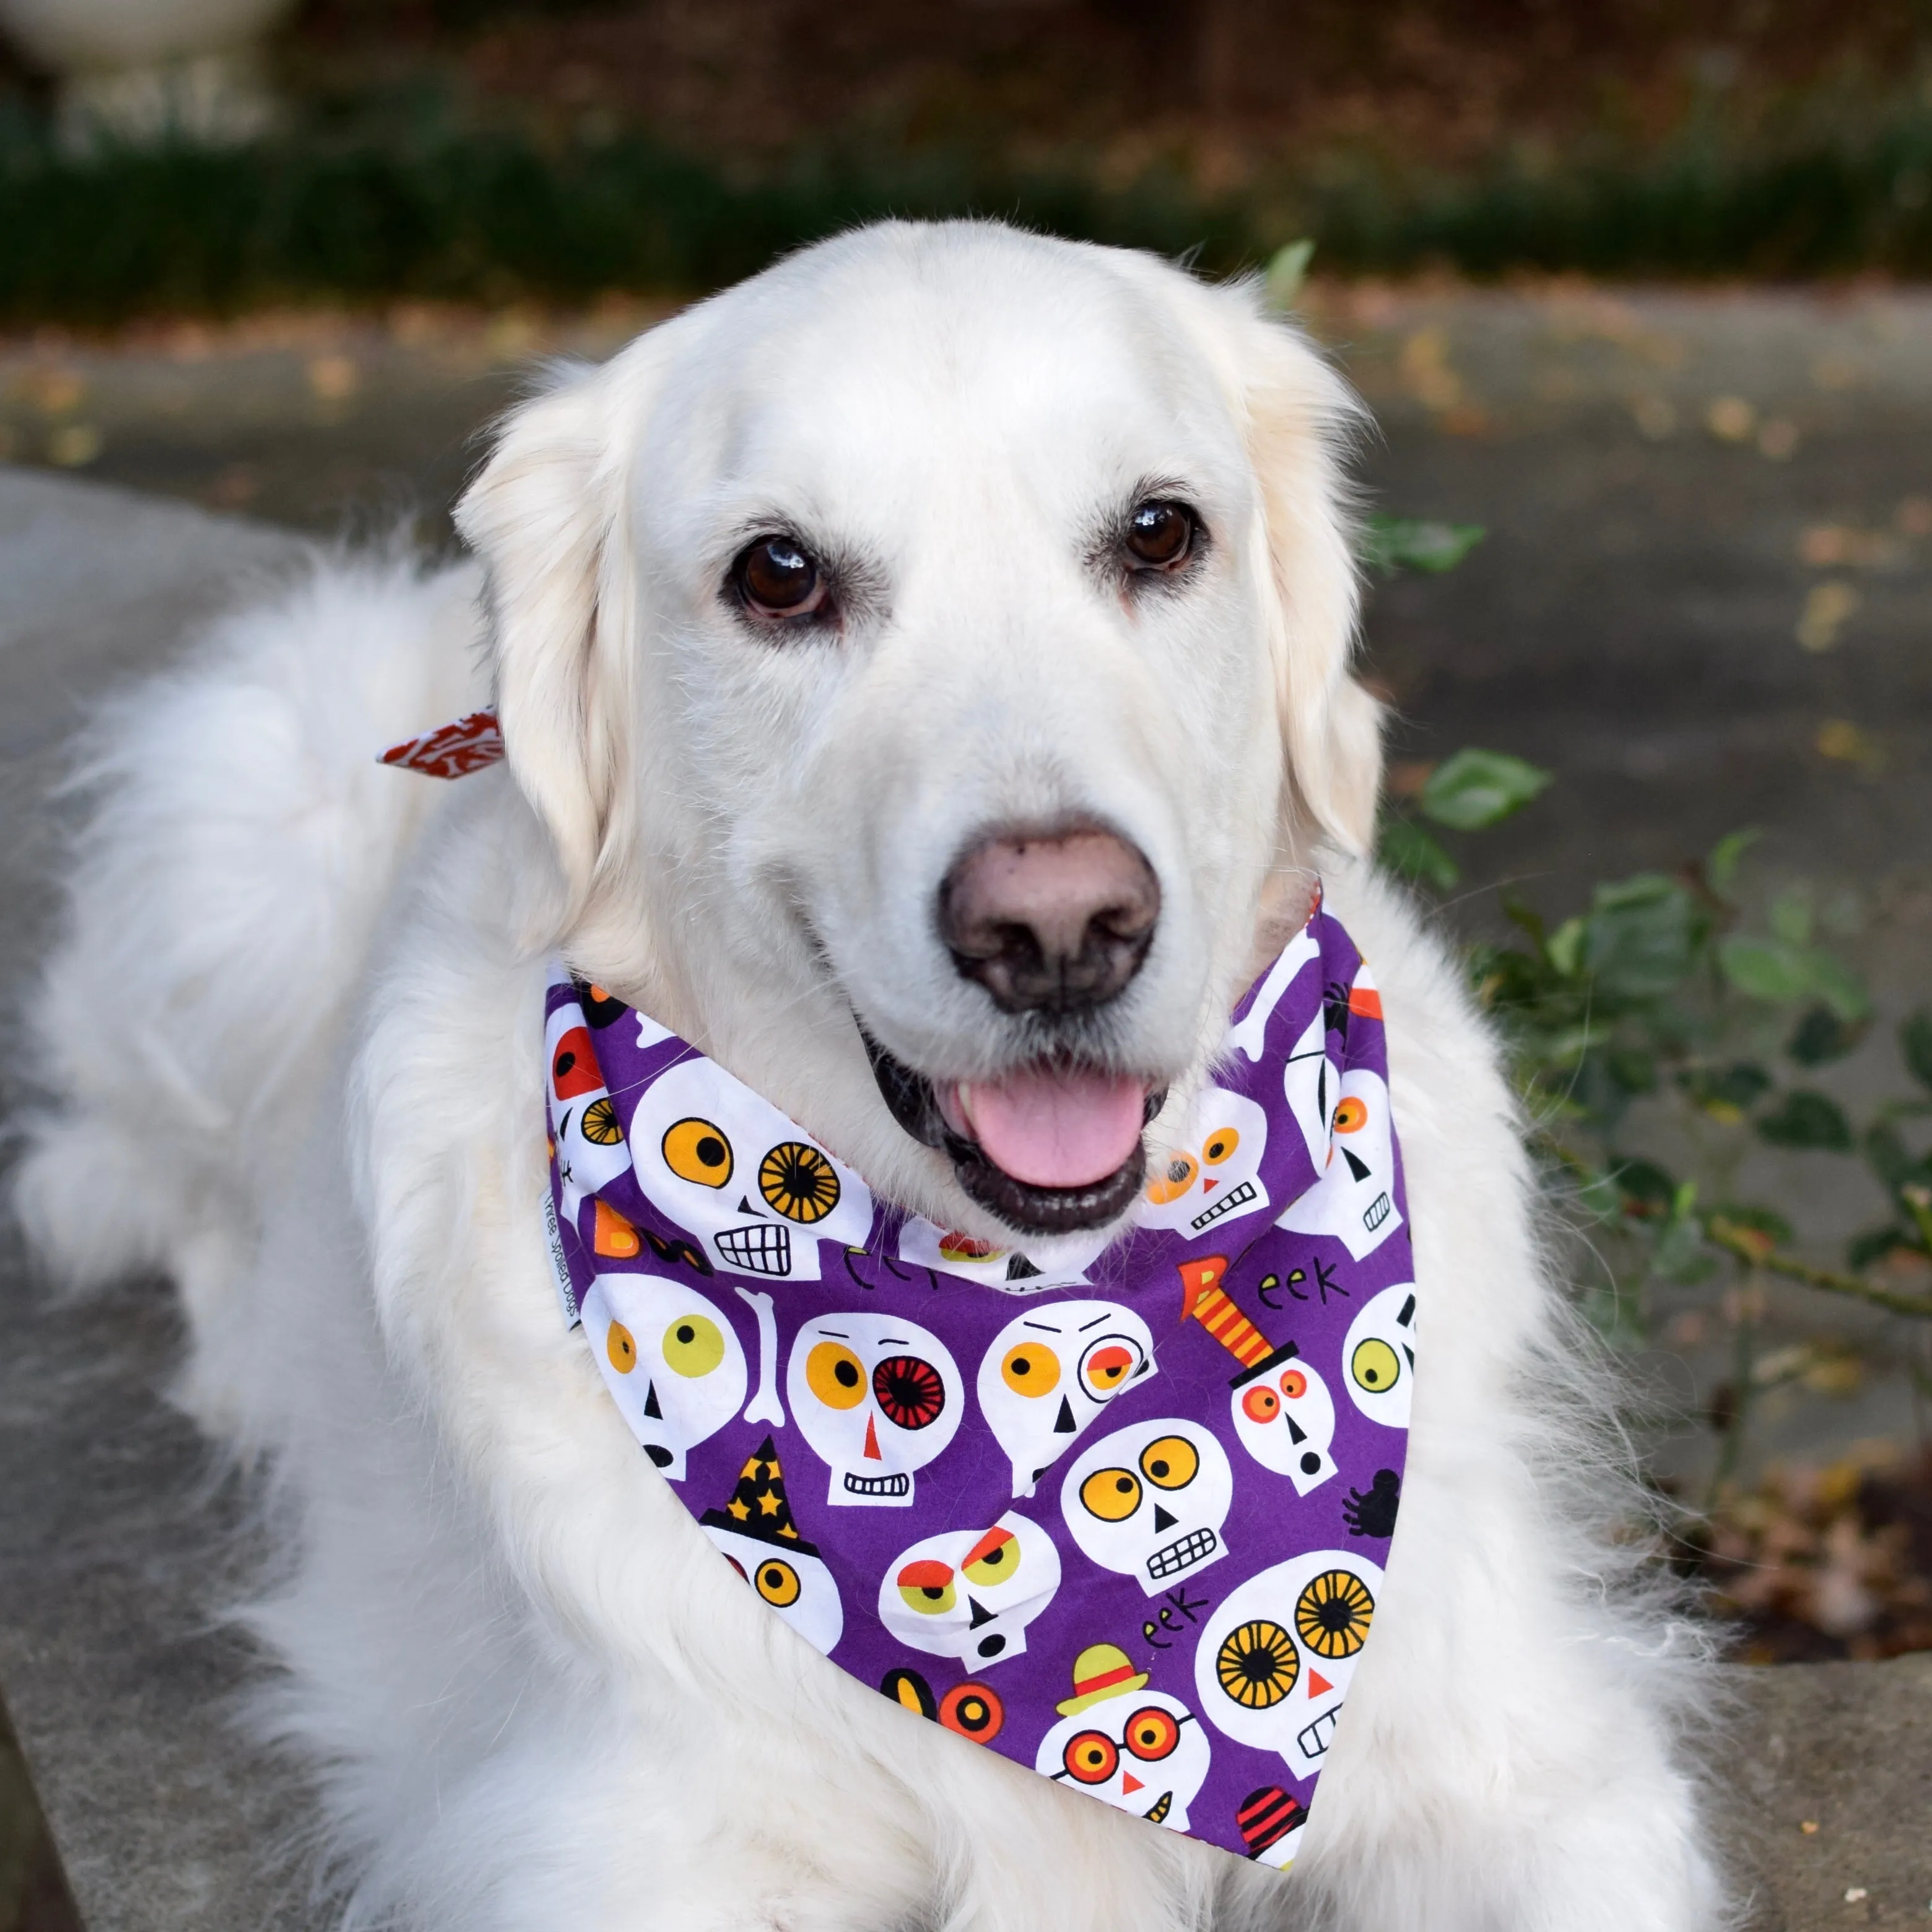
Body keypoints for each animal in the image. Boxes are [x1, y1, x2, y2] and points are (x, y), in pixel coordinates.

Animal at [11, 219, 1723, 1924]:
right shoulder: (632, 1838)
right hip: (252, 820)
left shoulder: (1520, 1763)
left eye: (1158, 533)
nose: (1058, 929)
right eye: (779, 574)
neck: (1008, 1292)